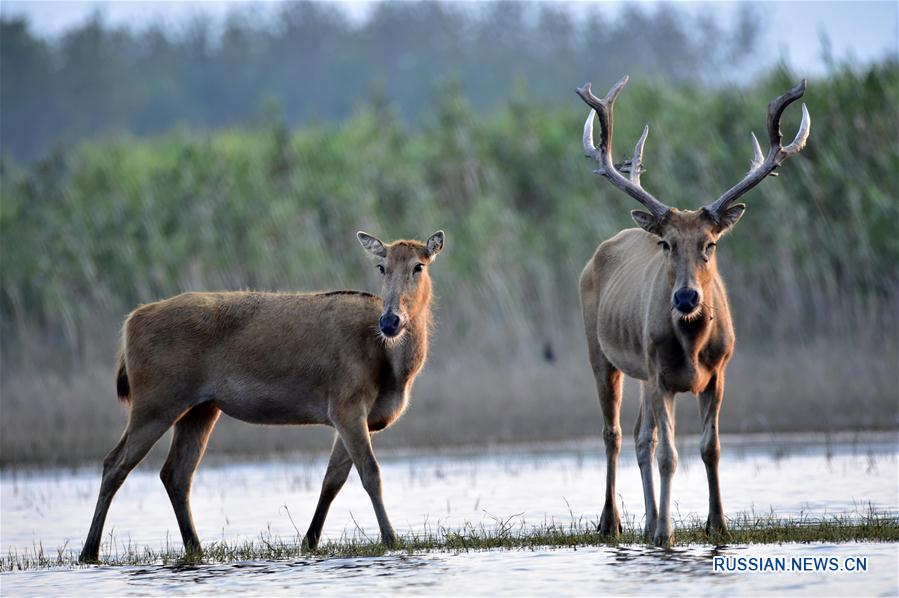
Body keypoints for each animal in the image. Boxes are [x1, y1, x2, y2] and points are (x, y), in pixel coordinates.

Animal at [79, 230, 444, 564]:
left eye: (419, 265)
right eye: (382, 267)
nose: (391, 320)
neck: (393, 368)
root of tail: (129, 323)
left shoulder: (359, 417)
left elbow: (332, 479)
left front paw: (309, 542)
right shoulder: (346, 403)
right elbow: (370, 473)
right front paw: (391, 540)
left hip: (200, 407)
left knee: (176, 473)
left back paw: (195, 548)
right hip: (155, 400)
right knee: (115, 463)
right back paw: (89, 551)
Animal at [580, 76, 812, 548]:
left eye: (711, 243)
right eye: (666, 243)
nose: (686, 299)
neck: (692, 343)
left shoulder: (719, 371)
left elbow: (710, 448)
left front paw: (717, 524)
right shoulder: (660, 376)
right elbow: (670, 454)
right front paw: (667, 534)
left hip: (641, 373)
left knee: (640, 437)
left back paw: (646, 520)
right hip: (602, 355)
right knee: (615, 434)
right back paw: (613, 522)